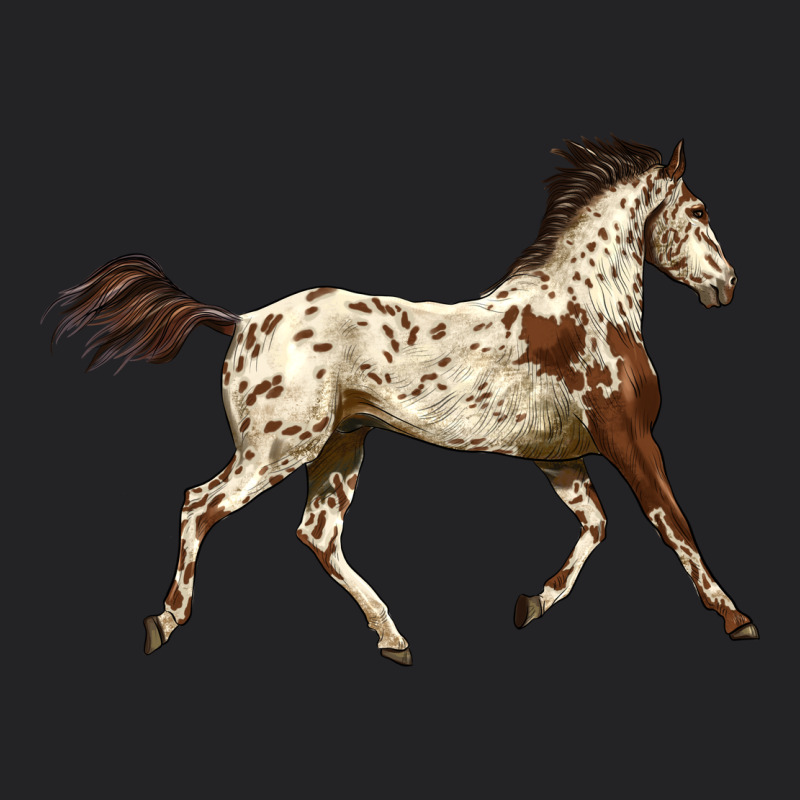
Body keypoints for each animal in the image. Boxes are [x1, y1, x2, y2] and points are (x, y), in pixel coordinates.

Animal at [44, 137, 758, 665]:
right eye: (698, 210)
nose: (726, 285)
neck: (586, 310)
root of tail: (240, 321)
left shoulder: (561, 459)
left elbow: (597, 528)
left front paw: (531, 604)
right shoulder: (630, 441)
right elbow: (674, 526)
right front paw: (736, 617)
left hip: (338, 450)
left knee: (317, 534)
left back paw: (393, 637)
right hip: (277, 449)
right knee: (200, 505)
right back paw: (165, 621)